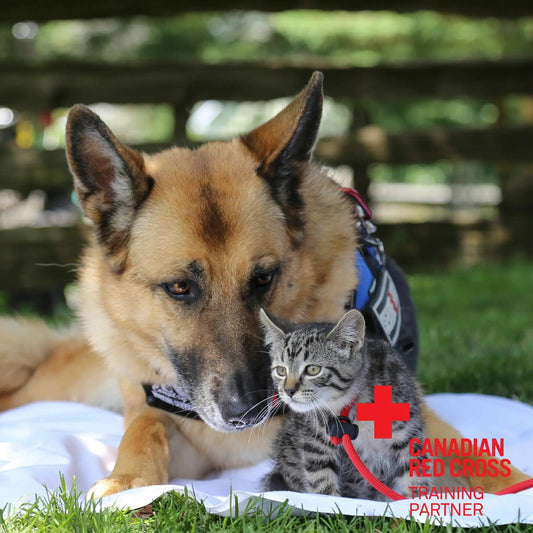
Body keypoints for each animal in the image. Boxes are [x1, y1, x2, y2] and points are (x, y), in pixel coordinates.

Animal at [260, 308, 430, 498]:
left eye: (313, 369)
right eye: (281, 371)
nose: (288, 390)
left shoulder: (408, 432)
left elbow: (415, 475)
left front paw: (416, 501)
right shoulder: (315, 440)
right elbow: (322, 481)